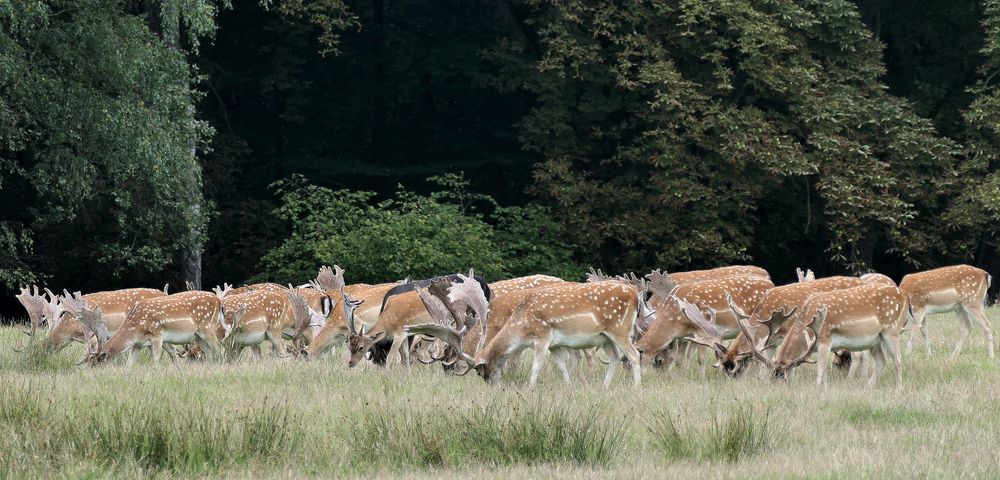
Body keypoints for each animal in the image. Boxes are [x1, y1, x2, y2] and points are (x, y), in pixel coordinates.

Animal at [740, 284, 912, 388]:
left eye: (782, 378)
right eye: (771, 378)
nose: (775, 388)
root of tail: (904, 294)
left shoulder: (824, 339)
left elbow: (820, 368)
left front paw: (817, 390)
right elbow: (825, 371)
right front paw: (825, 389)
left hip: (892, 329)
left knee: (897, 360)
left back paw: (898, 390)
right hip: (875, 340)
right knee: (882, 360)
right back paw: (867, 388)